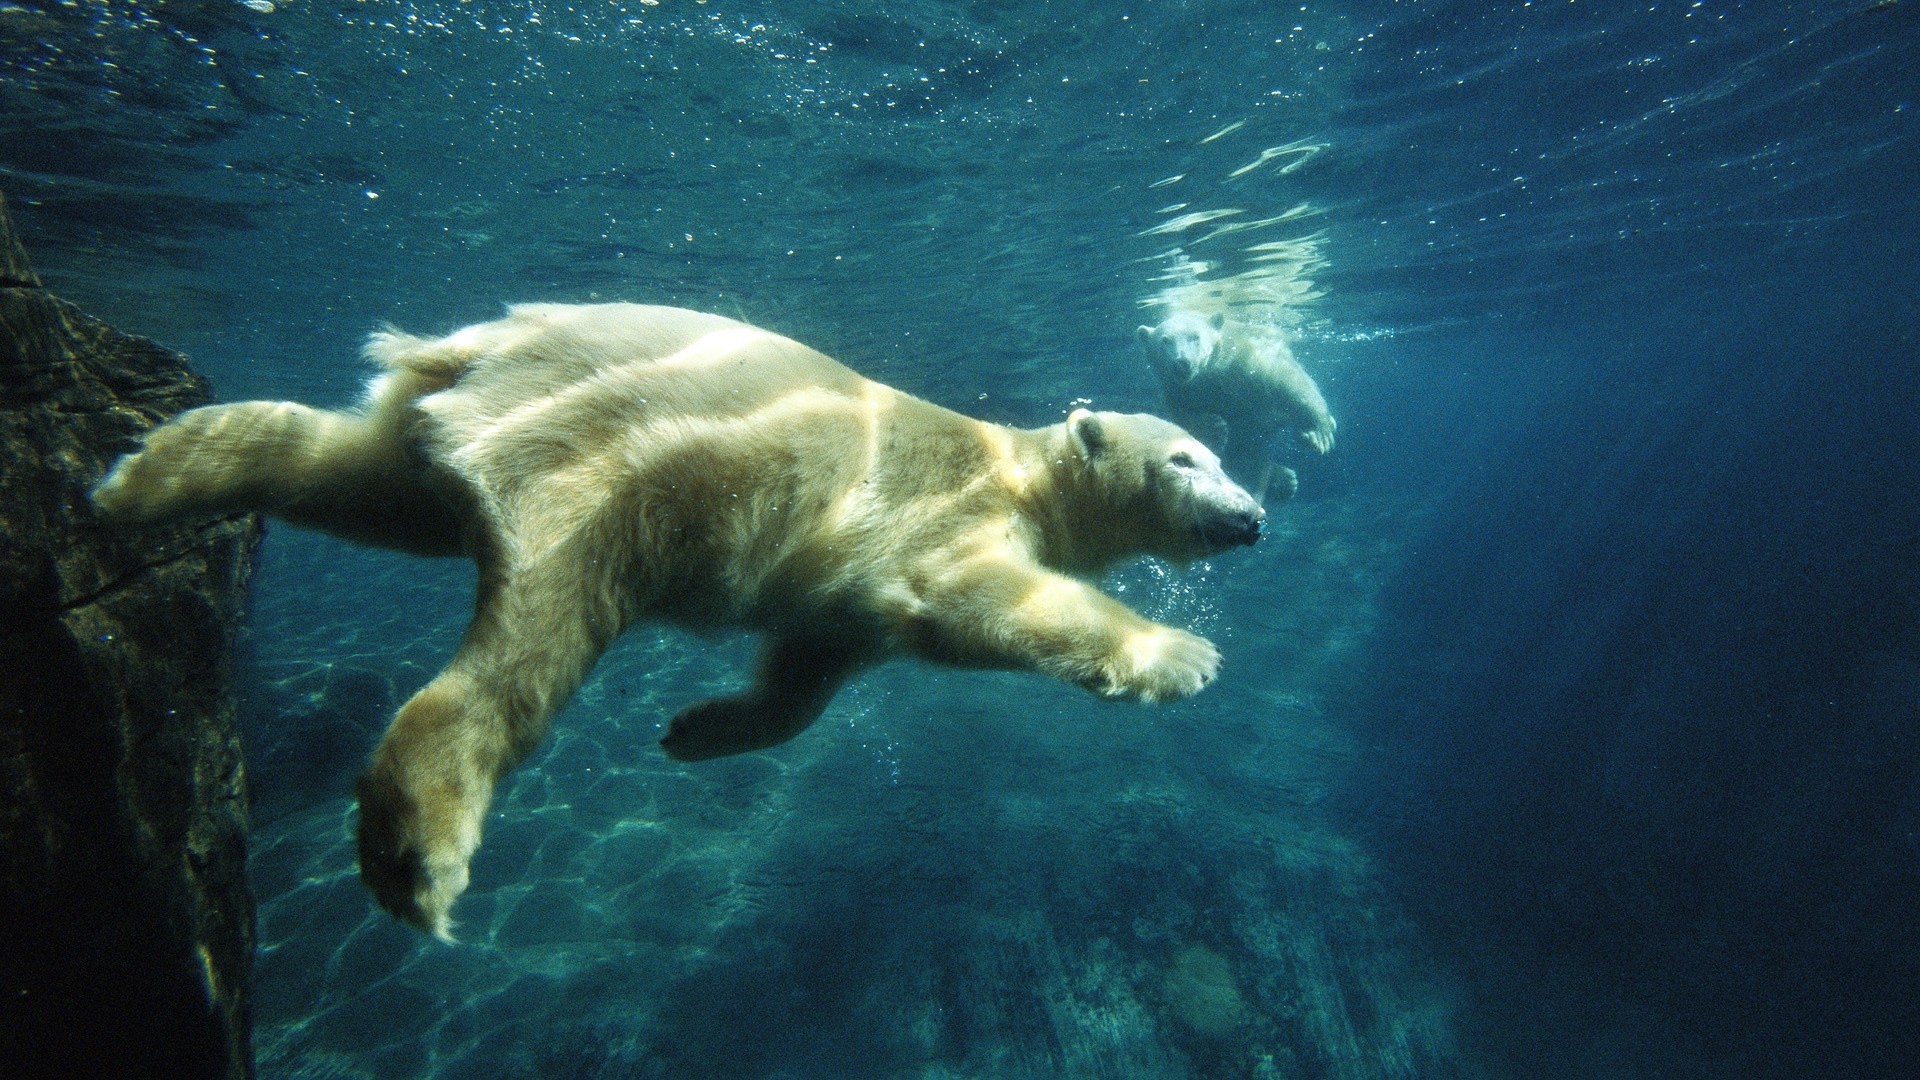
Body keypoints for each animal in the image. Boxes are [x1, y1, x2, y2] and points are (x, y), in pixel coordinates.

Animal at [91, 302, 1266, 940]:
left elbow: (810, 666)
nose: (1253, 516)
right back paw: (419, 851)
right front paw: (1183, 653)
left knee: (355, 476)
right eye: (1188, 457)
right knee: (524, 648)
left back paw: (150, 469)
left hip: (465, 442)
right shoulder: (940, 515)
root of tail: (473, 347)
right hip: (605, 465)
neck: (1018, 466)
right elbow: (975, 601)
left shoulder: (839, 594)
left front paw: (698, 729)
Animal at [1137, 310, 1335, 504]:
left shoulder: (1247, 360)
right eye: (1165, 340)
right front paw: (1216, 428)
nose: (1182, 363)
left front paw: (1318, 433)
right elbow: (1184, 419)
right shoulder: (1179, 390)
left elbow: (1288, 380)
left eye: (1195, 337)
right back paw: (1284, 480)